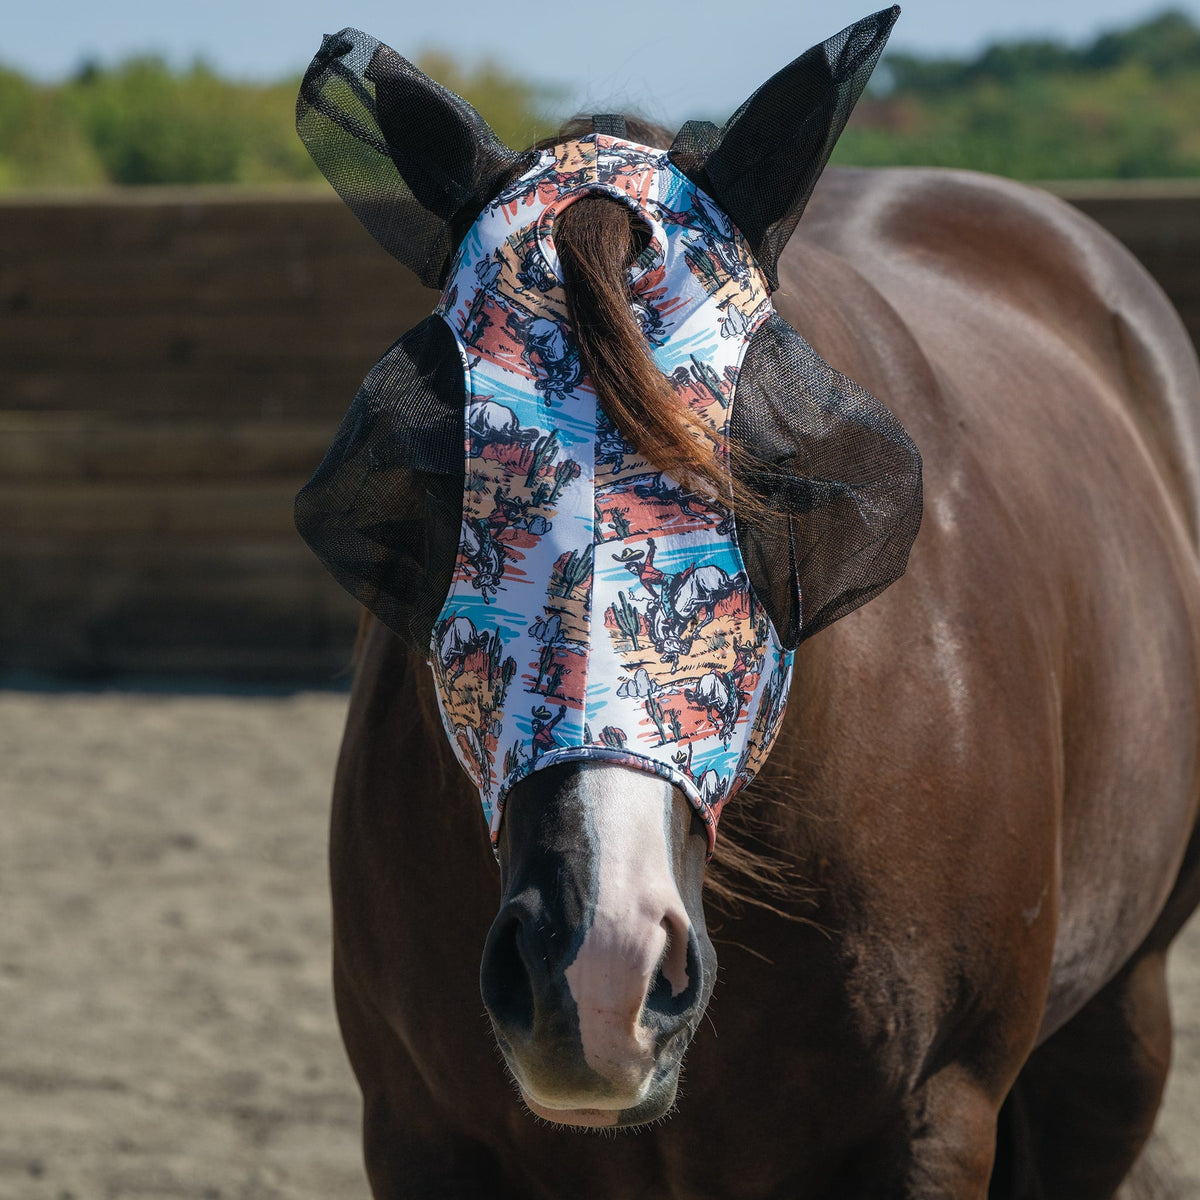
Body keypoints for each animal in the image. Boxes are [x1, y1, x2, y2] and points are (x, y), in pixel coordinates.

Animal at [297, 24, 1200, 1200]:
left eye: (766, 470)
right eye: (440, 477)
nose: (598, 967)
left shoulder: (932, 1125)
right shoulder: (415, 1134)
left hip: (1117, 1028)